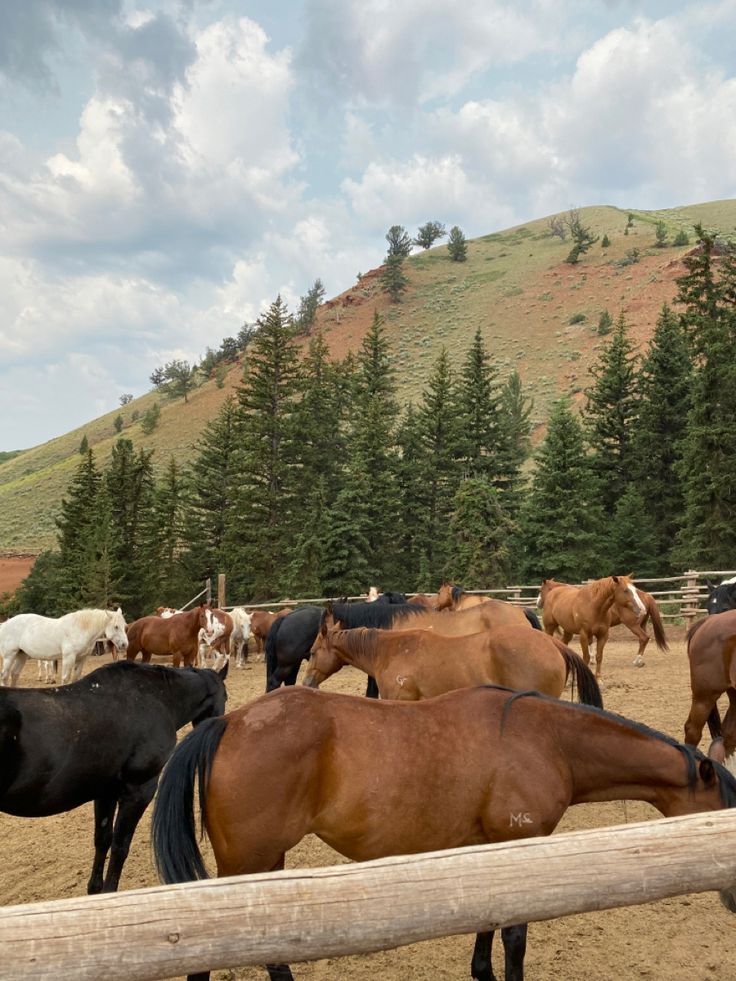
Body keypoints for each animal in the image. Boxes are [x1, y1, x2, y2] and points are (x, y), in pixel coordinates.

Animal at [0, 604, 128, 688]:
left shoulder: (81, 659)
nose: (124, 645)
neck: (80, 629)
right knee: (4, 676)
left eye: (125, 626)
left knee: (14, 675)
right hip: (9, 656)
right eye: (116, 626)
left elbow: (75, 678)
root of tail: (5, 624)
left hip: (21, 655)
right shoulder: (68, 657)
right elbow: (65, 678)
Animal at [0, 660, 227, 896]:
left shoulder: (105, 791)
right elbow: (120, 845)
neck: (158, 697)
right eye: (226, 697)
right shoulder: (139, 791)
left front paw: (96, 889)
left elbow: (103, 839)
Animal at [151, 680, 736, 980]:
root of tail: (230, 722)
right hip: (246, 862)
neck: (546, 740)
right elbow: (515, 938)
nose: (733, 897)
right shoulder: (517, 848)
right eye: (720, 812)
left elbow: (487, 926)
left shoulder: (486, 850)